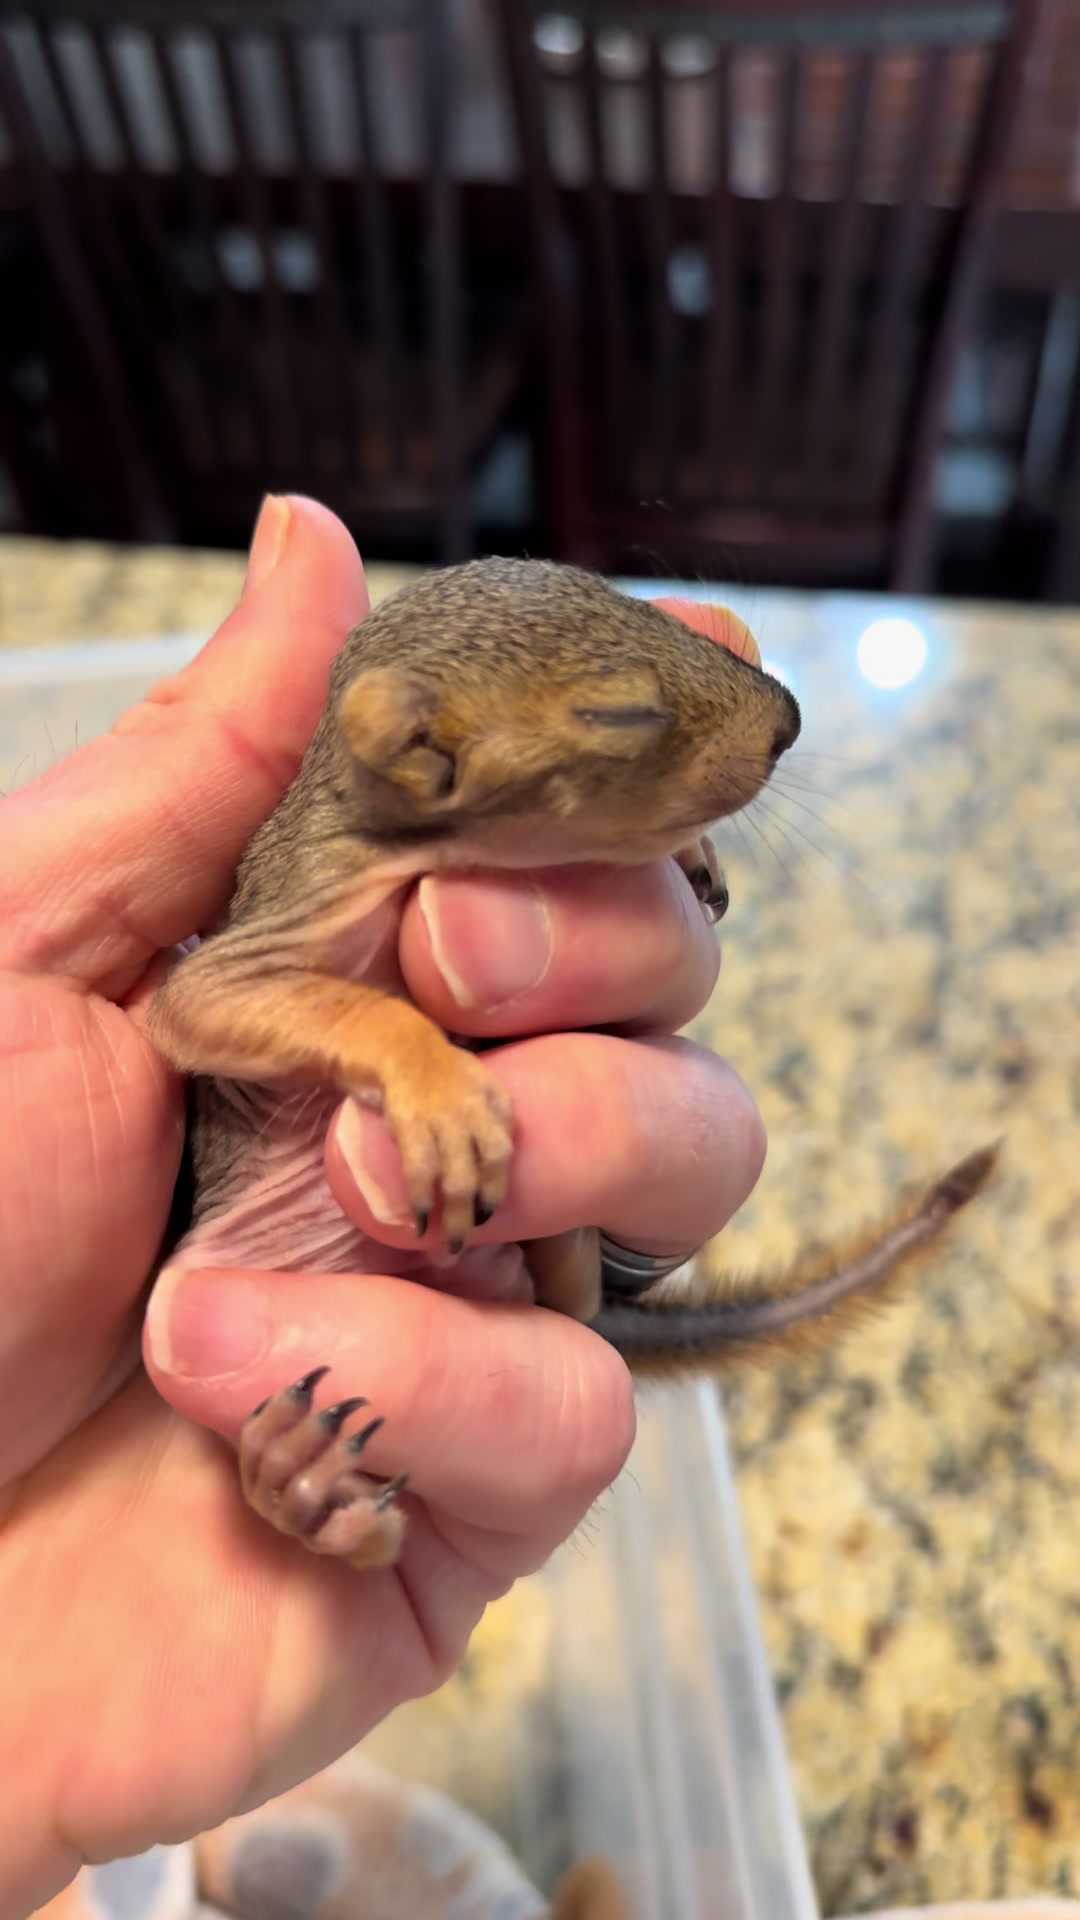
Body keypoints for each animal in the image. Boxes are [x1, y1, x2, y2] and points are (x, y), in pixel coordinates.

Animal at [147, 557, 997, 1574]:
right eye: (621, 715)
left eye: (640, 604)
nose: (789, 718)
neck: (394, 836)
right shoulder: (282, 922)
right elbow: (218, 1005)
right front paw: (439, 1093)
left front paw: (693, 856)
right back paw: (301, 1486)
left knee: (563, 1294)